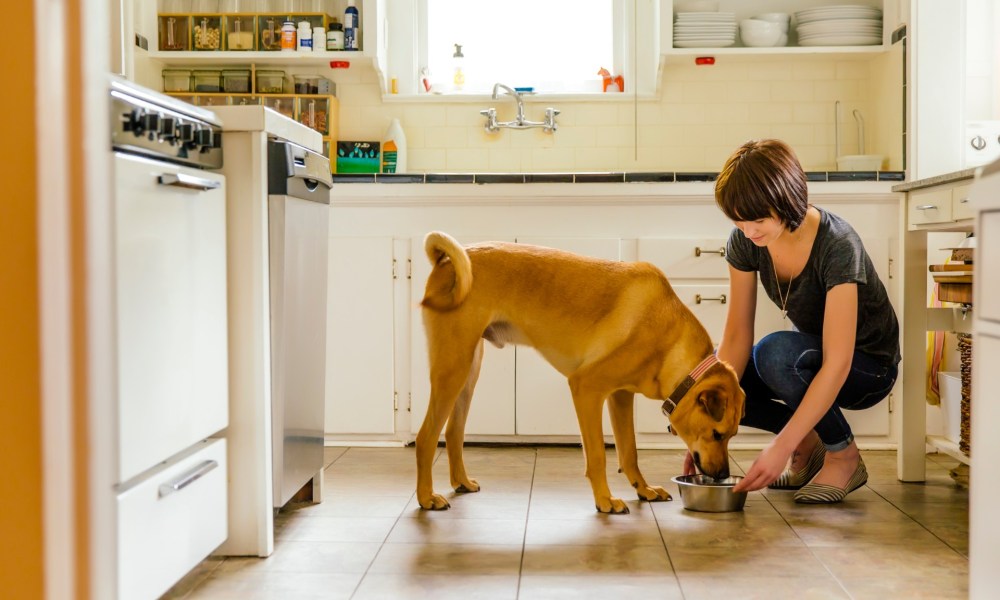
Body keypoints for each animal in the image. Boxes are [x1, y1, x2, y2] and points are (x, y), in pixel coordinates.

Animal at [414, 232, 744, 512]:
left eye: (732, 435)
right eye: (717, 434)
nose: (722, 476)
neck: (668, 339)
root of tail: (446, 260)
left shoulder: (620, 397)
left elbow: (629, 451)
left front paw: (643, 489)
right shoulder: (586, 388)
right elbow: (597, 453)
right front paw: (605, 500)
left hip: (468, 371)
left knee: (453, 432)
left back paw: (461, 482)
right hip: (452, 368)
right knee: (426, 437)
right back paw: (427, 497)